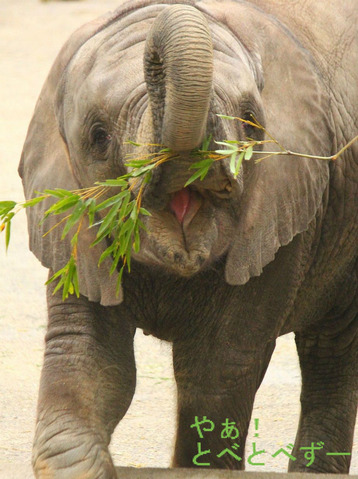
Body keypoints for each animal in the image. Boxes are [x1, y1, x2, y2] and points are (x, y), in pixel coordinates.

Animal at [20, 0, 358, 476]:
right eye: (98, 137)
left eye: (251, 123)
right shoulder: (72, 231)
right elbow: (91, 358)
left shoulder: (287, 216)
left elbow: (216, 368)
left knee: (330, 351)